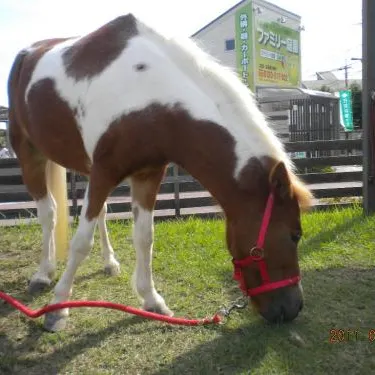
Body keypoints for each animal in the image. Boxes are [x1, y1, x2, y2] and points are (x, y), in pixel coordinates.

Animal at [7, 13, 312, 332]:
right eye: (295, 235)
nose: (293, 308)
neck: (150, 95)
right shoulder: (105, 172)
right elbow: (81, 243)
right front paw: (58, 307)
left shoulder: (147, 174)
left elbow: (144, 237)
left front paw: (151, 299)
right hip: (29, 152)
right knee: (49, 213)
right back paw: (43, 273)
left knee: (100, 213)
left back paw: (109, 262)